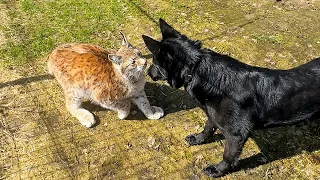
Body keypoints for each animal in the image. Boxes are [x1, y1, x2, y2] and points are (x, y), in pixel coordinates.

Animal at [142, 18, 320, 177]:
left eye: (154, 63)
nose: (148, 72)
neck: (199, 70)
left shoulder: (236, 135)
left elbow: (228, 156)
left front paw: (218, 170)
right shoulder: (212, 114)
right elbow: (208, 128)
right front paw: (199, 139)